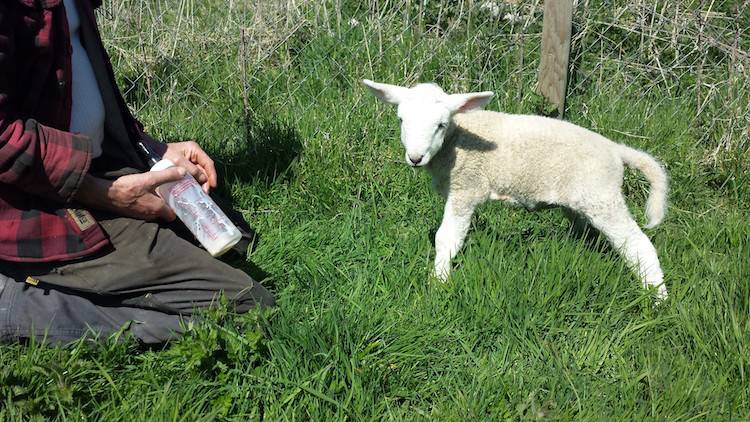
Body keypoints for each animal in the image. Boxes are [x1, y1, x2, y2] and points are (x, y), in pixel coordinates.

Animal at [362, 79, 669, 301]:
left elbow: (446, 239)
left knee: (638, 244)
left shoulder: (467, 188)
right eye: (401, 120)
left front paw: (439, 283)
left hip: (602, 195)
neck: (456, 139)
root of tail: (616, 150)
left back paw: (658, 298)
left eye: (441, 124)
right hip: (582, 199)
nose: (415, 158)